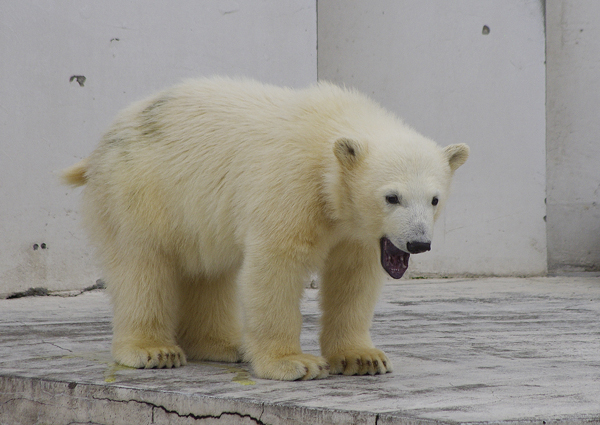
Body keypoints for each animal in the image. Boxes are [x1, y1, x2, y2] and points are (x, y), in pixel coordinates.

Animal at [64, 77, 468, 380]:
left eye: (434, 199)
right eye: (392, 197)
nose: (418, 243)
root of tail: (102, 144)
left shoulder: (353, 229)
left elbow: (352, 278)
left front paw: (363, 358)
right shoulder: (292, 184)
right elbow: (277, 265)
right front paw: (294, 363)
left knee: (209, 271)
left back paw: (225, 345)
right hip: (141, 190)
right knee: (143, 263)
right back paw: (154, 350)